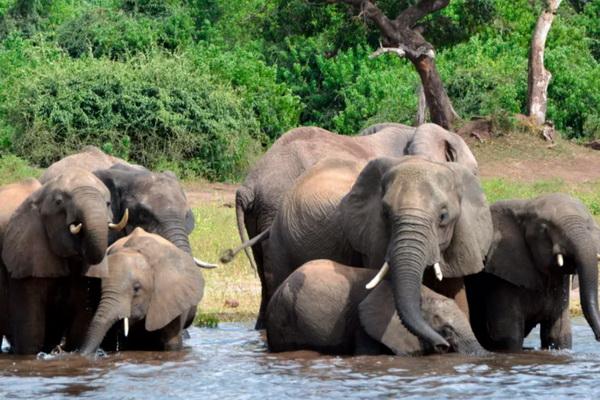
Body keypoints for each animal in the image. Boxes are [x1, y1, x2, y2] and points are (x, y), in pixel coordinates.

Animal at [466, 195, 600, 354]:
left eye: (589, 226)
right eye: (544, 229)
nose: (598, 337)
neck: (525, 205)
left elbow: (559, 334)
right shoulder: (501, 276)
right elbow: (508, 336)